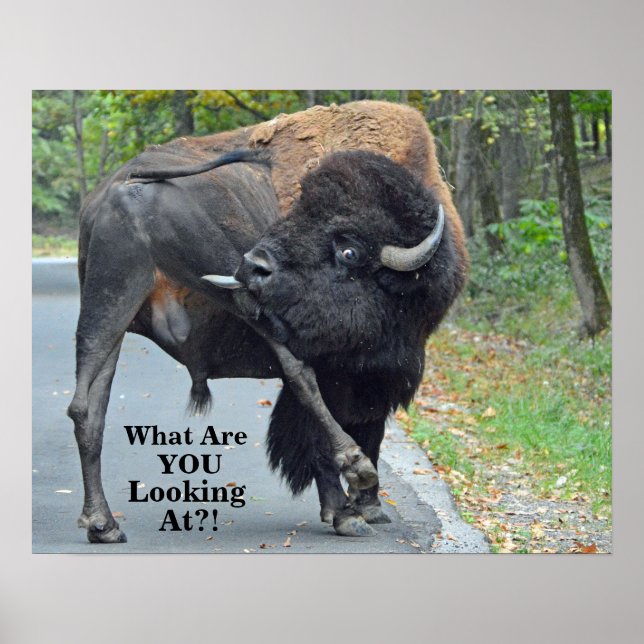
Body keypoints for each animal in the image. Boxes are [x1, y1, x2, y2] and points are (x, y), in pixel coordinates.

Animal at [67, 101, 468, 543]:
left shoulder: (377, 377)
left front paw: (367, 509)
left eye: (348, 251)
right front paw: (348, 511)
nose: (254, 264)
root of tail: (122, 187)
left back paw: (102, 524)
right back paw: (356, 468)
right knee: (298, 373)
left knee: (87, 407)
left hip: (109, 306)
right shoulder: (345, 373)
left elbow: (371, 426)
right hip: (240, 296)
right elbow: (322, 425)